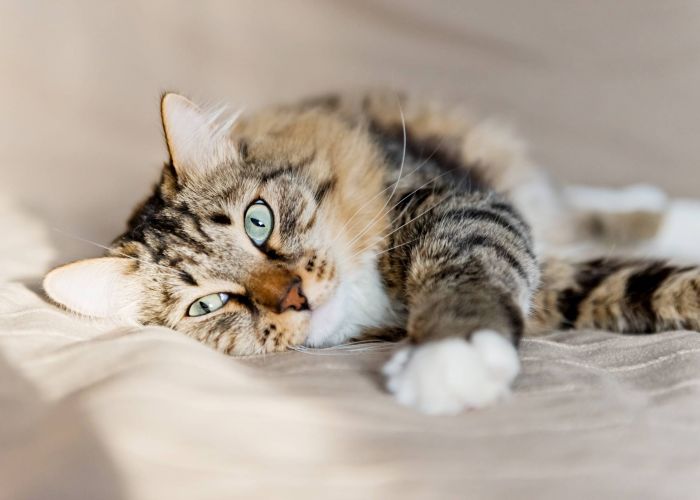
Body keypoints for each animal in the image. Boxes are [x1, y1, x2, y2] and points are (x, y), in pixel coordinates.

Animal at [42, 90, 700, 414]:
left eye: (259, 221)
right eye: (208, 306)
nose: (294, 296)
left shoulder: (462, 206)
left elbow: (467, 273)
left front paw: (451, 356)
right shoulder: (557, 285)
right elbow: (648, 284)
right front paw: (454, 366)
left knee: (586, 207)